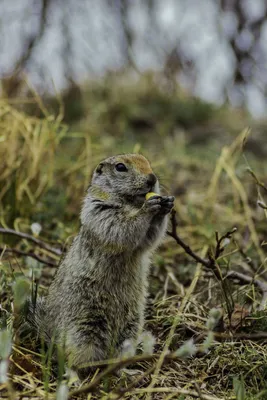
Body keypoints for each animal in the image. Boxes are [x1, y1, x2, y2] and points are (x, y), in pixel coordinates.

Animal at [27, 152, 175, 376]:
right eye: (120, 167)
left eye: (148, 162)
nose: (152, 179)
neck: (130, 203)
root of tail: (49, 332)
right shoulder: (99, 211)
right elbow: (120, 227)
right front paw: (148, 209)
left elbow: (150, 237)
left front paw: (167, 204)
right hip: (83, 330)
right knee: (75, 360)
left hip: (130, 329)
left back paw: (125, 371)